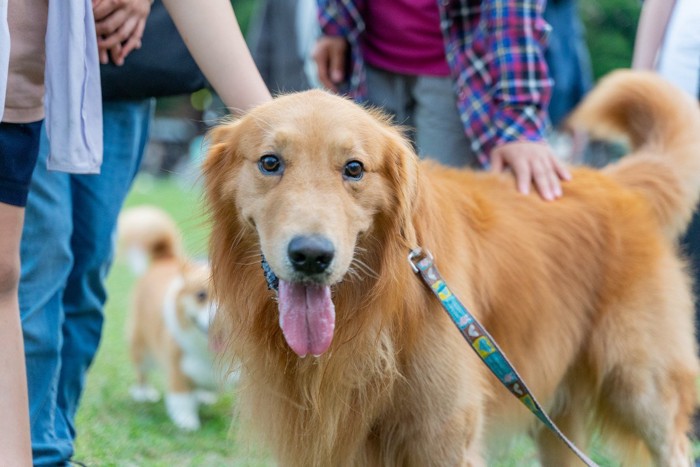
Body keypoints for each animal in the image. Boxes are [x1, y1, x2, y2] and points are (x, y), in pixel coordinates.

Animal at [117, 207, 220, 434]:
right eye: (201, 295)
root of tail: (164, 258)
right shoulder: (176, 370)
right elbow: (181, 399)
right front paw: (187, 422)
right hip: (141, 347)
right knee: (142, 372)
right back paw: (144, 393)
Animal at [201, 70, 700, 467]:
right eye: (270, 162)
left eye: (354, 169)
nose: (311, 255)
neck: (381, 308)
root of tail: (616, 181)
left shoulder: (444, 435)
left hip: (641, 386)